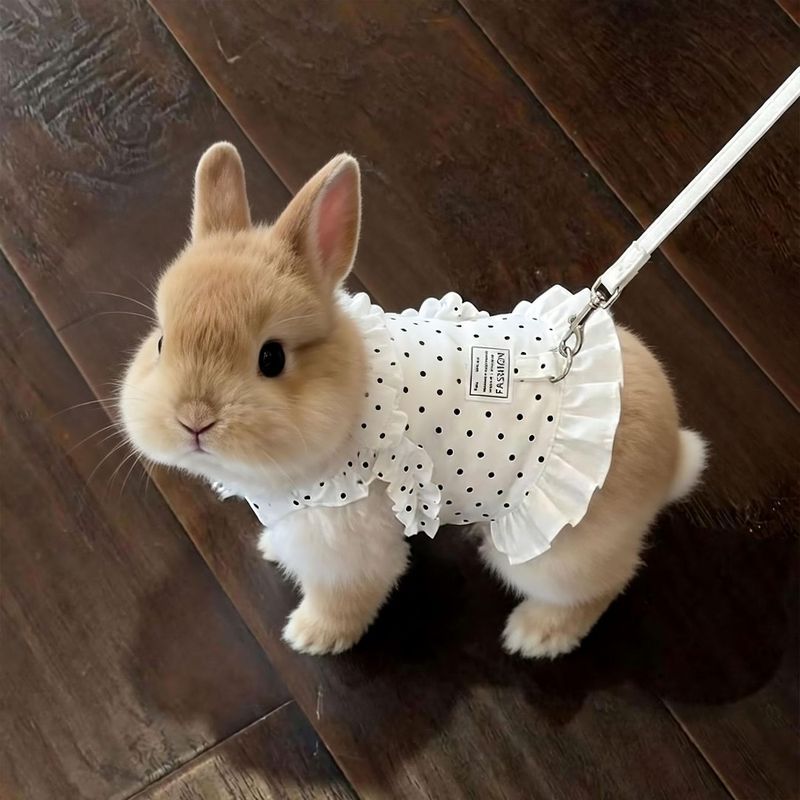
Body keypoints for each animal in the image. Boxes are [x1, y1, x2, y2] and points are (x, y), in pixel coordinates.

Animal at [120, 142, 707, 658]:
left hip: (555, 554)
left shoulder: (347, 550)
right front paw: (270, 548)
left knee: (601, 586)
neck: (352, 391)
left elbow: (344, 598)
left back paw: (536, 636)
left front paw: (311, 637)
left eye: (271, 358)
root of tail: (671, 453)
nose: (193, 420)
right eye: (162, 343)